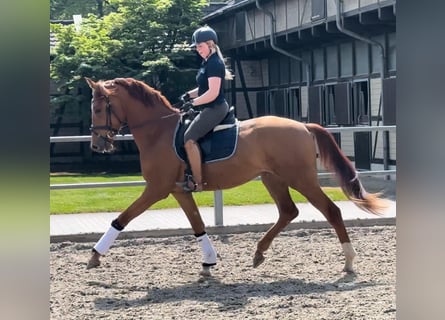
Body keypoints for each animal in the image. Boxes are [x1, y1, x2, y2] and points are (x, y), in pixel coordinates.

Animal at [85, 77, 386, 276]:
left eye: (98, 109)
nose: (97, 145)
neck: (158, 132)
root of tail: (303, 126)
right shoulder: (179, 190)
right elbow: (197, 224)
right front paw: (208, 262)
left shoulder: (156, 188)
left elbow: (123, 218)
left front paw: (95, 255)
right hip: (272, 178)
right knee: (288, 211)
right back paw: (259, 252)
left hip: (301, 179)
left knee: (331, 210)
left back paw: (348, 261)